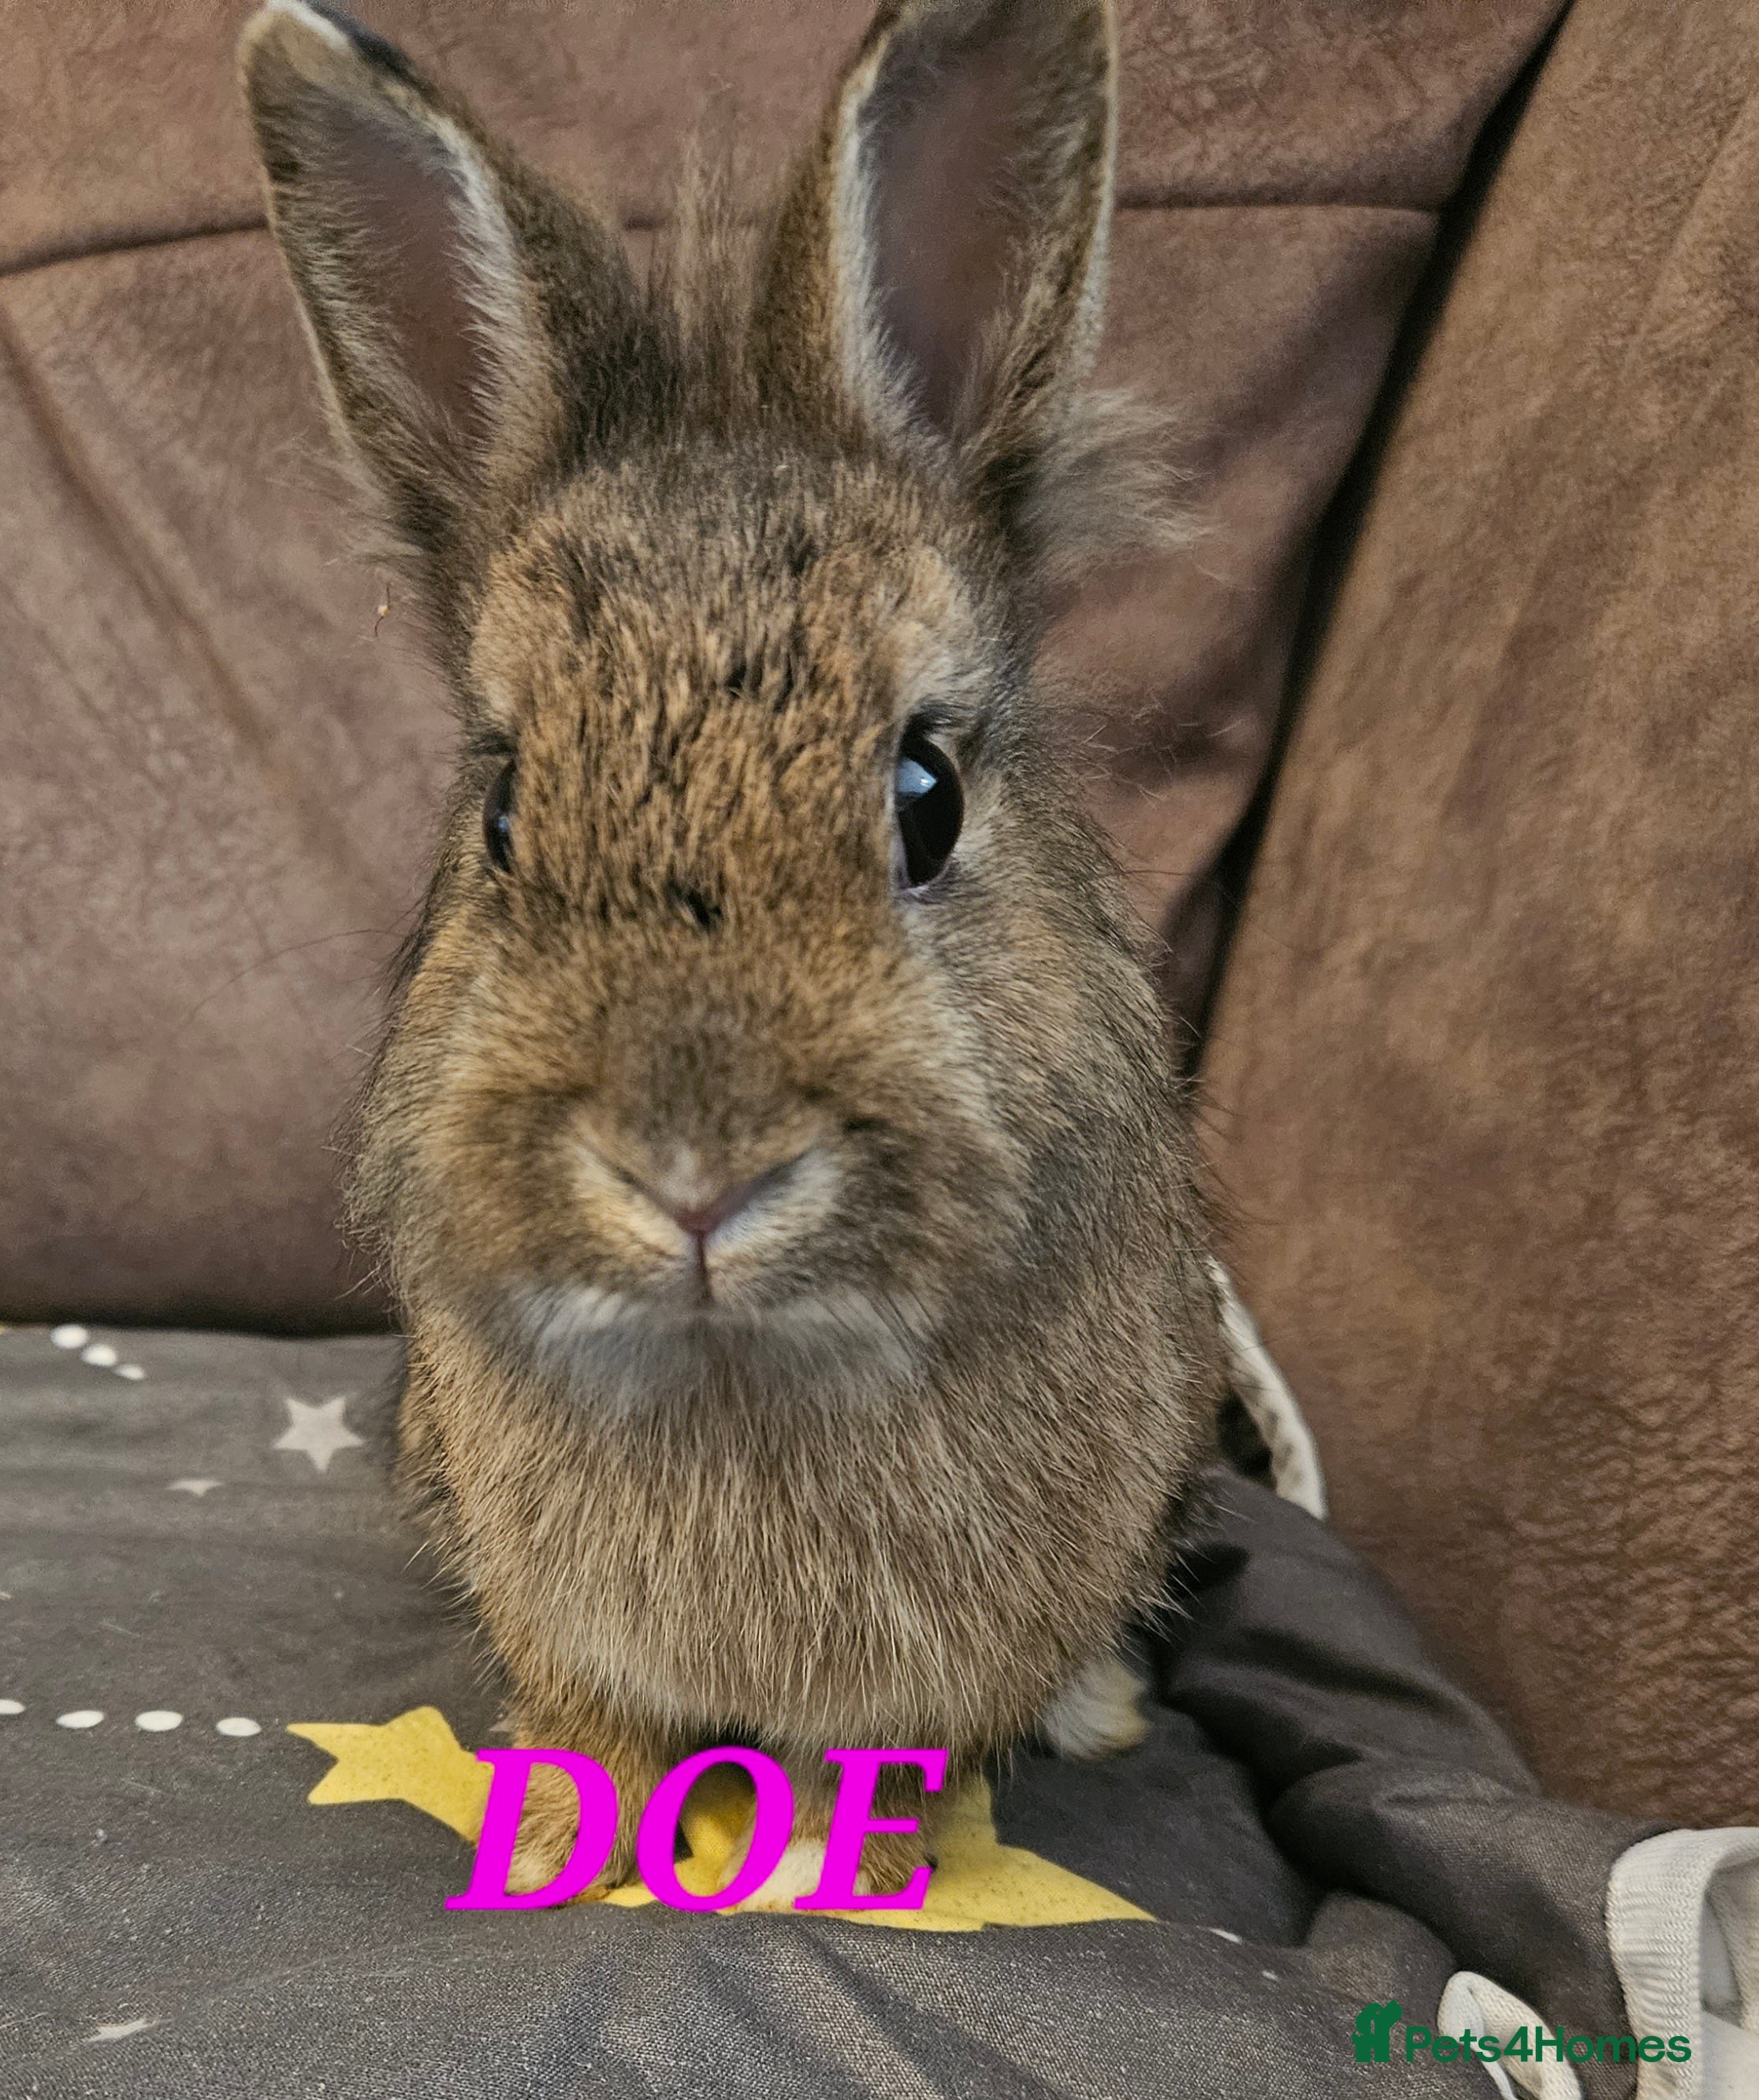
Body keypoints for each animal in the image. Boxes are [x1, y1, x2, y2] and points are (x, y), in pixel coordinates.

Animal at [239, 0, 1227, 1908]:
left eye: (925, 796)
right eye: (504, 809)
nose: (692, 1175)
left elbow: (886, 1770)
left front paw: (832, 1876)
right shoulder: (567, 1625)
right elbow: (605, 1732)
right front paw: (561, 1842)